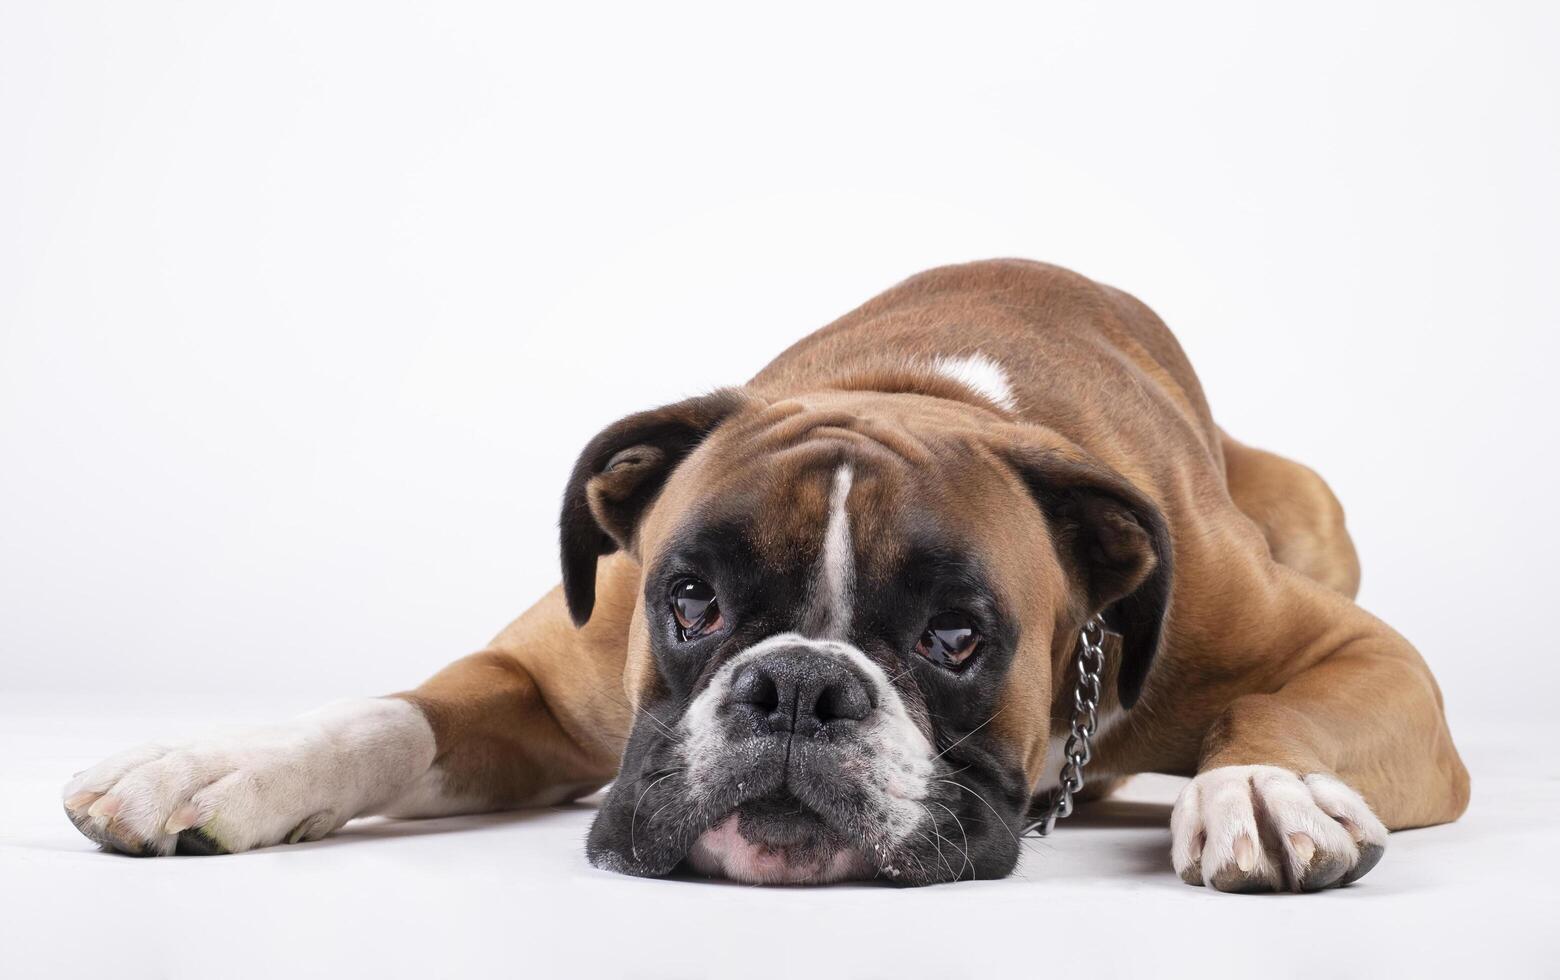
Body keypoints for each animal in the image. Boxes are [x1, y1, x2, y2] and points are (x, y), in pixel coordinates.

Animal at [63, 259, 1472, 886]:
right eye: (693, 600)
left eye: (957, 636)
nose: (795, 686)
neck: (912, 394)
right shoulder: (538, 674)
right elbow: (386, 716)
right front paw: (212, 765)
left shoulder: (1358, 655)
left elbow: (1279, 708)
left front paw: (1263, 788)